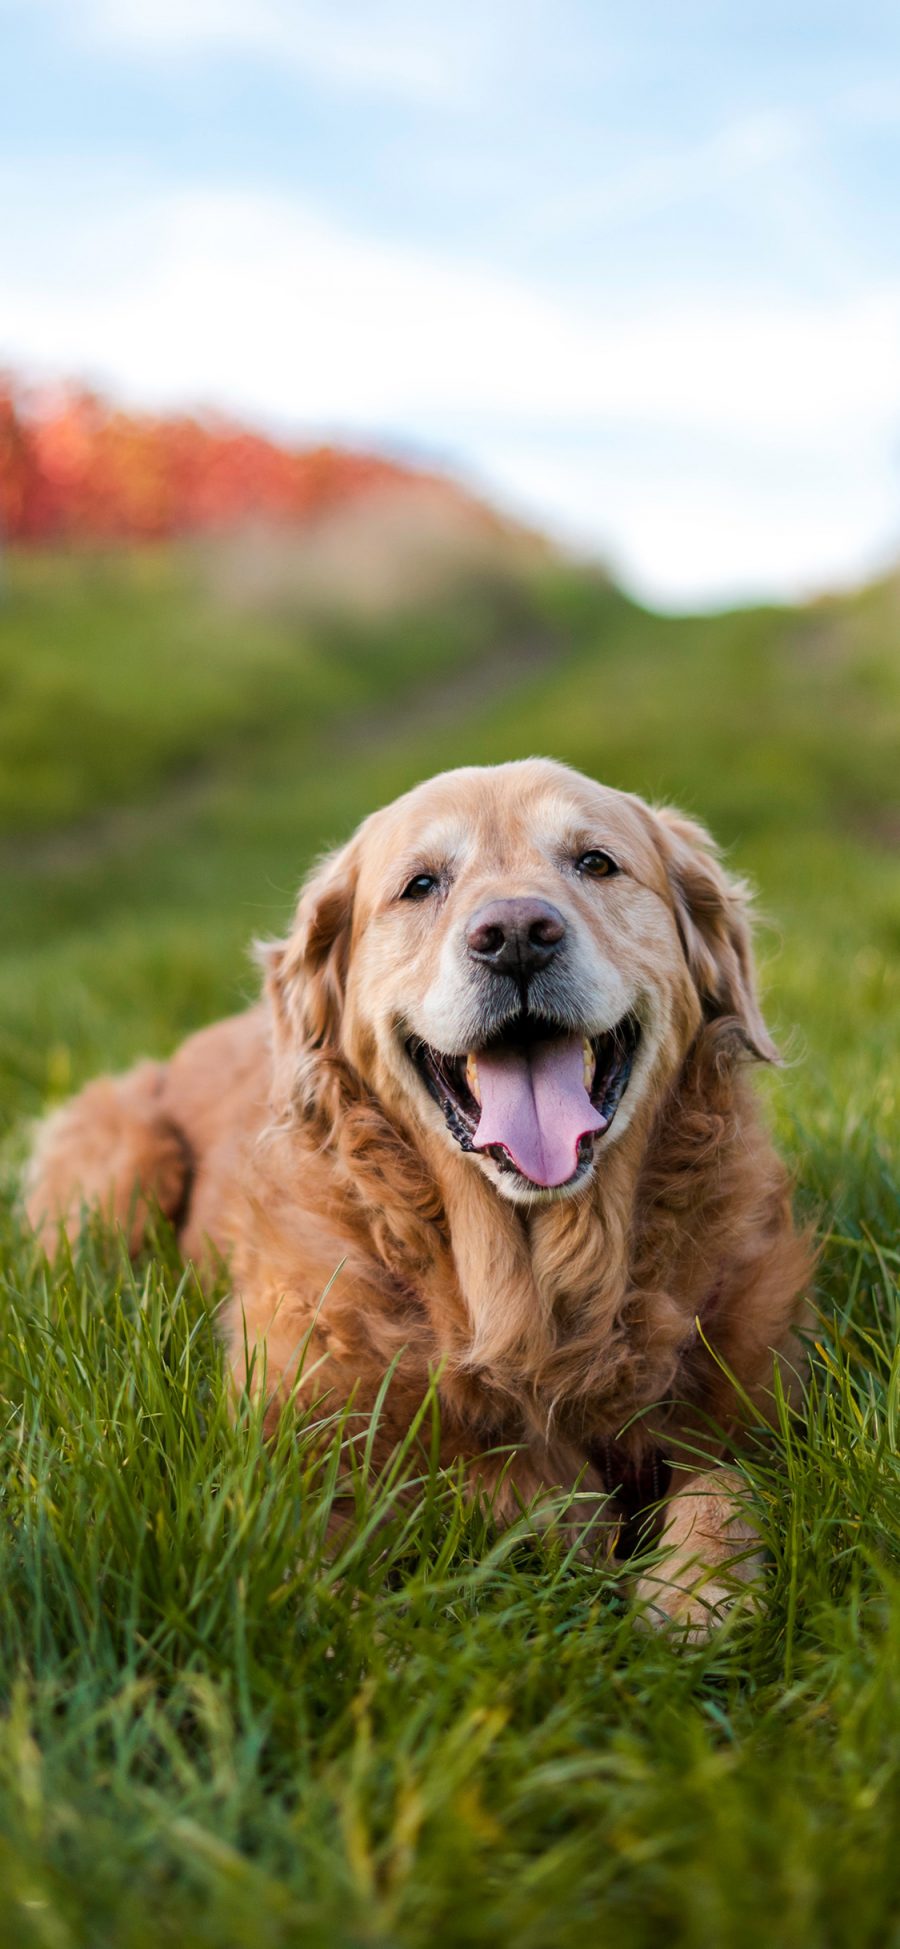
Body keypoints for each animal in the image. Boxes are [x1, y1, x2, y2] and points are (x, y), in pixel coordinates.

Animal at [24, 760, 810, 1629]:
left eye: (596, 862)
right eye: (422, 884)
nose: (515, 934)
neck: (524, 1294)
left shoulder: (761, 1406)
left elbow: (727, 1480)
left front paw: (696, 1592)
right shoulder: (287, 1451)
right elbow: (348, 1555)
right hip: (120, 1160)